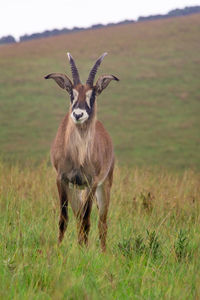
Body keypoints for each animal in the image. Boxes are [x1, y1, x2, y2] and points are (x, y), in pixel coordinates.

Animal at [45, 52, 119, 251]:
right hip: (76, 190)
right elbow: (64, 218)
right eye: (71, 93)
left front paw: (84, 250)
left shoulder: (92, 182)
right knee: (78, 217)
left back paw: (102, 251)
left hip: (103, 187)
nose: (78, 114)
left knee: (101, 222)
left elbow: (87, 220)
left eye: (92, 95)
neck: (79, 155)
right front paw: (60, 247)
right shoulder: (61, 180)